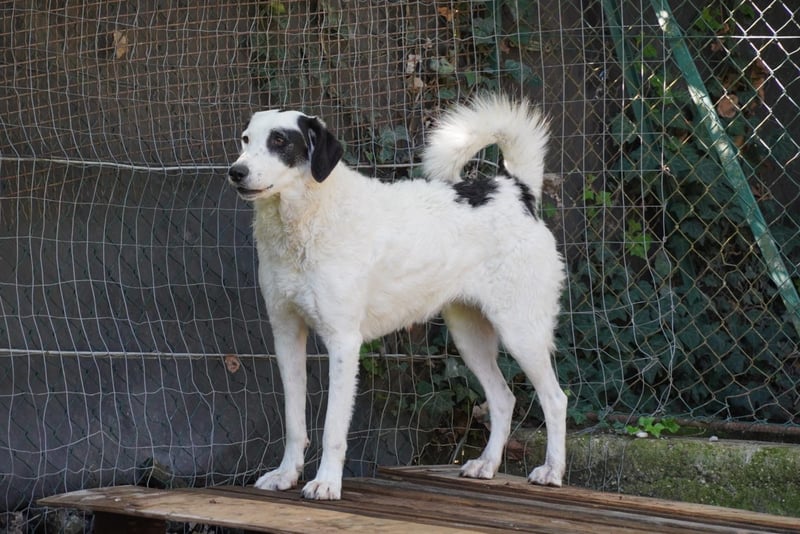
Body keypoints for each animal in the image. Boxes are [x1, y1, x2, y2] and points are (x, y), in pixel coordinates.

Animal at [227, 94, 567, 500]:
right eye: (246, 139)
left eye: (280, 141)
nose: (235, 172)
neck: (306, 217)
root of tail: (516, 190)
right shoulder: (286, 335)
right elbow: (295, 423)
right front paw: (285, 475)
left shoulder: (343, 342)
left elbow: (333, 428)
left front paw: (326, 483)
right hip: (469, 335)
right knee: (504, 398)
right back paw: (486, 465)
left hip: (521, 331)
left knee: (555, 399)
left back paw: (552, 471)